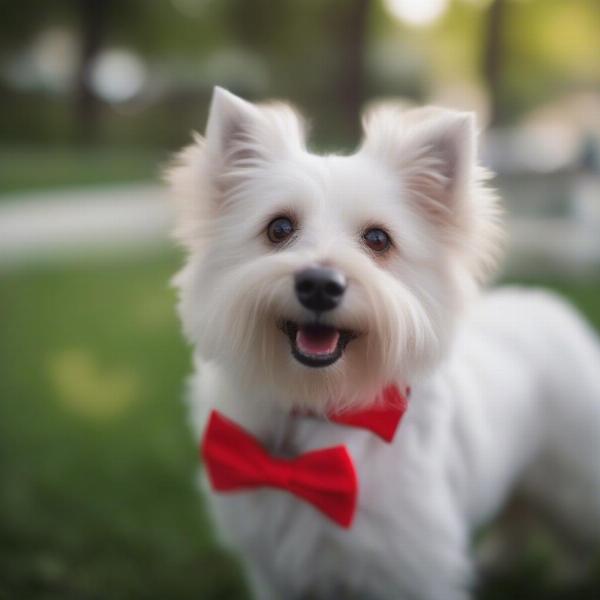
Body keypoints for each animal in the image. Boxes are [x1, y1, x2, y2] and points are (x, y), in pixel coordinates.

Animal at [168, 86, 600, 596]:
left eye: (378, 239)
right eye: (279, 228)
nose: (320, 285)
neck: (317, 410)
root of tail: (549, 304)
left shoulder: (411, 566)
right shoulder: (274, 571)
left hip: (576, 486)